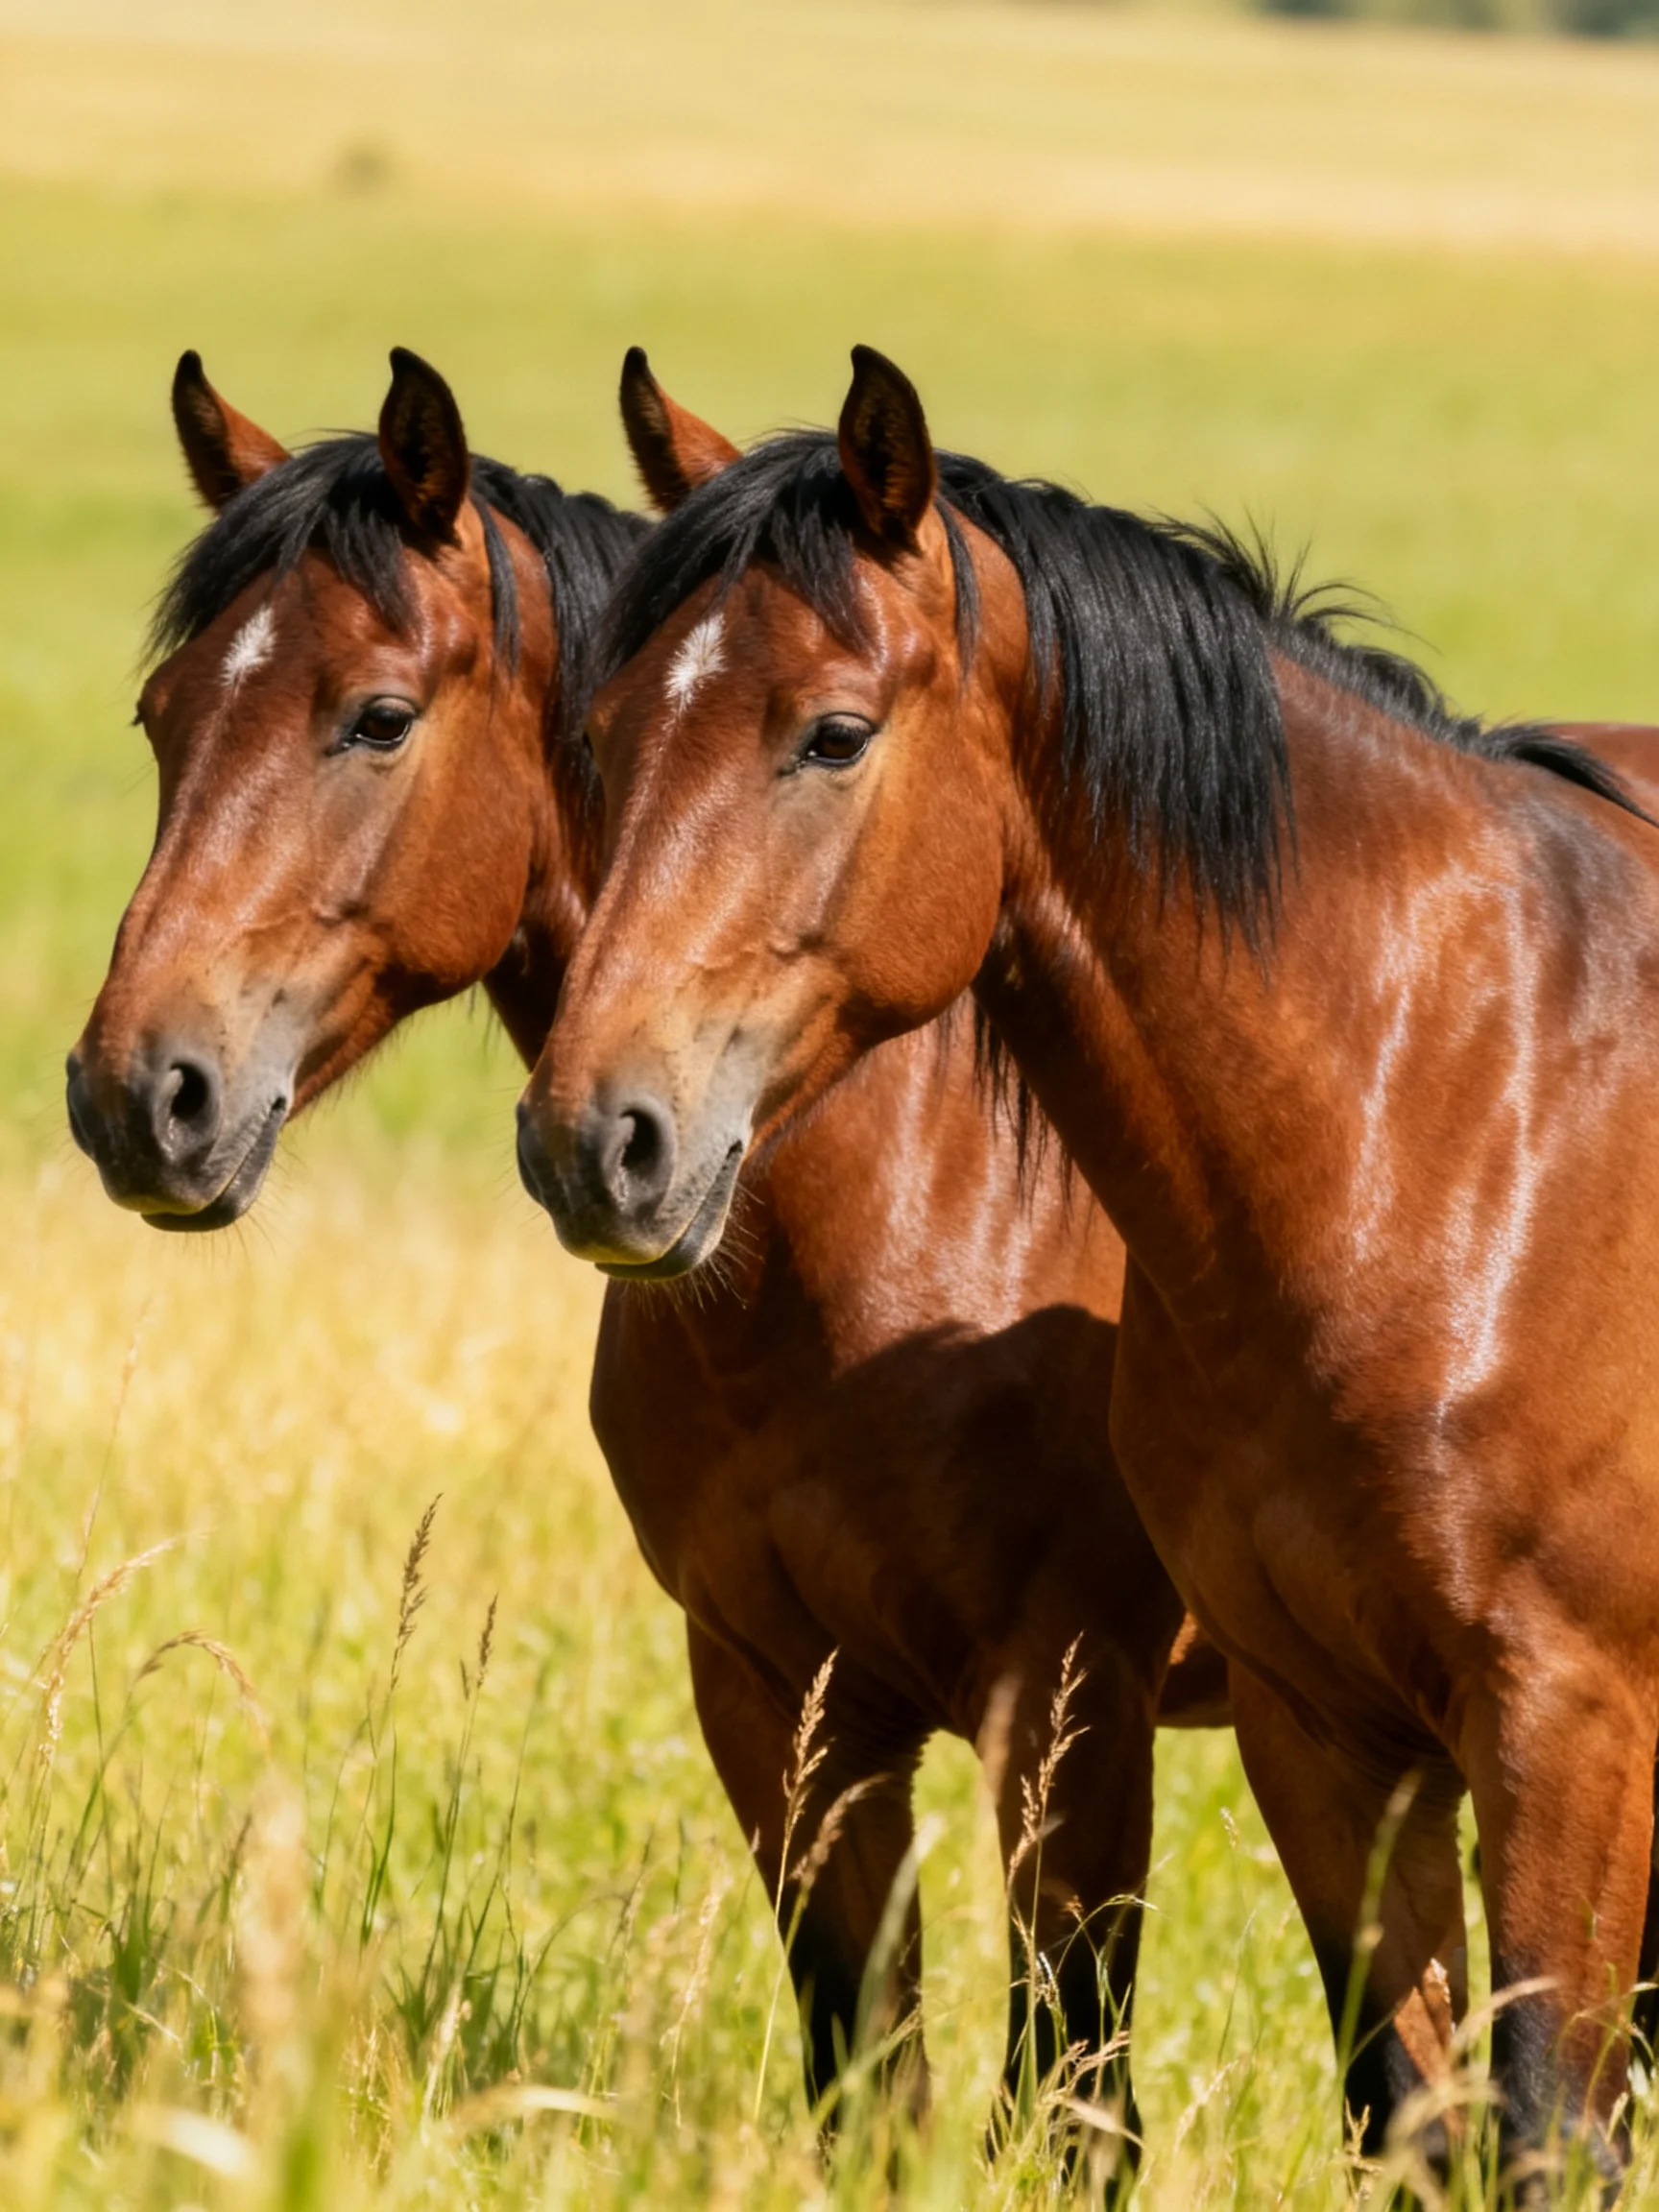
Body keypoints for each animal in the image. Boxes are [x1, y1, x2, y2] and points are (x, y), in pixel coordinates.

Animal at [65, 347, 1232, 2187]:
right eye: (164, 717)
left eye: (377, 715)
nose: (138, 1094)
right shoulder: (777, 1699)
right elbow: (867, 2086)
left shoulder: (1073, 1705)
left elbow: (1069, 2105)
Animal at [518, 344, 1659, 2192]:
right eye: (605, 740)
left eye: (832, 734)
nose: (594, 1136)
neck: (1454, 1123)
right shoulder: (1320, 1729)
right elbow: (1406, 2116)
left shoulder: (1564, 1726)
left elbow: (1545, 2130)